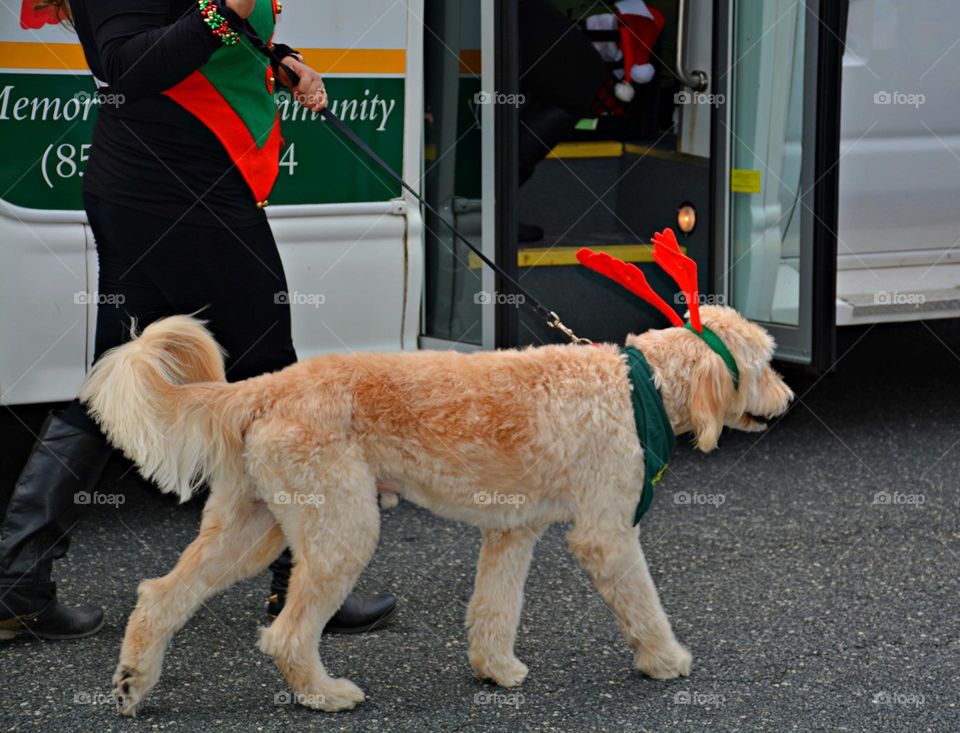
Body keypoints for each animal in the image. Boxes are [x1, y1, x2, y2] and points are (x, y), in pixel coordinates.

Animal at [80, 233, 788, 716]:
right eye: (763, 363)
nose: (786, 402)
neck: (633, 384)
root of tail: (268, 386)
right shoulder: (607, 536)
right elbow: (643, 603)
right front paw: (666, 660)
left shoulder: (512, 533)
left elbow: (495, 608)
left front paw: (496, 669)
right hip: (341, 529)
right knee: (284, 634)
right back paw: (323, 694)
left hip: (252, 529)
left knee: (160, 596)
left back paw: (133, 682)